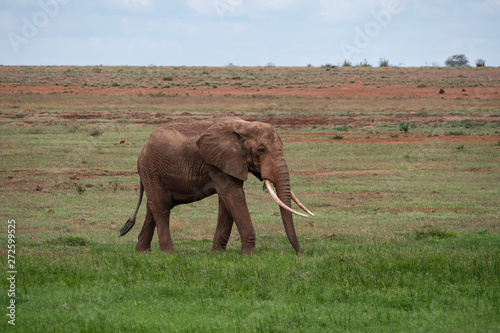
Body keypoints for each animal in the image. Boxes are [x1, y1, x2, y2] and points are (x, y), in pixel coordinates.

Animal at [118, 116, 312, 254]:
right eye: (261, 150)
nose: (299, 254)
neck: (244, 126)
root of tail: (144, 147)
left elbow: (227, 202)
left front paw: (218, 254)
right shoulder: (218, 162)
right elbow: (233, 196)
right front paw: (250, 256)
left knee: (153, 207)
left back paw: (142, 252)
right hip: (151, 168)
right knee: (161, 206)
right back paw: (170, 254)